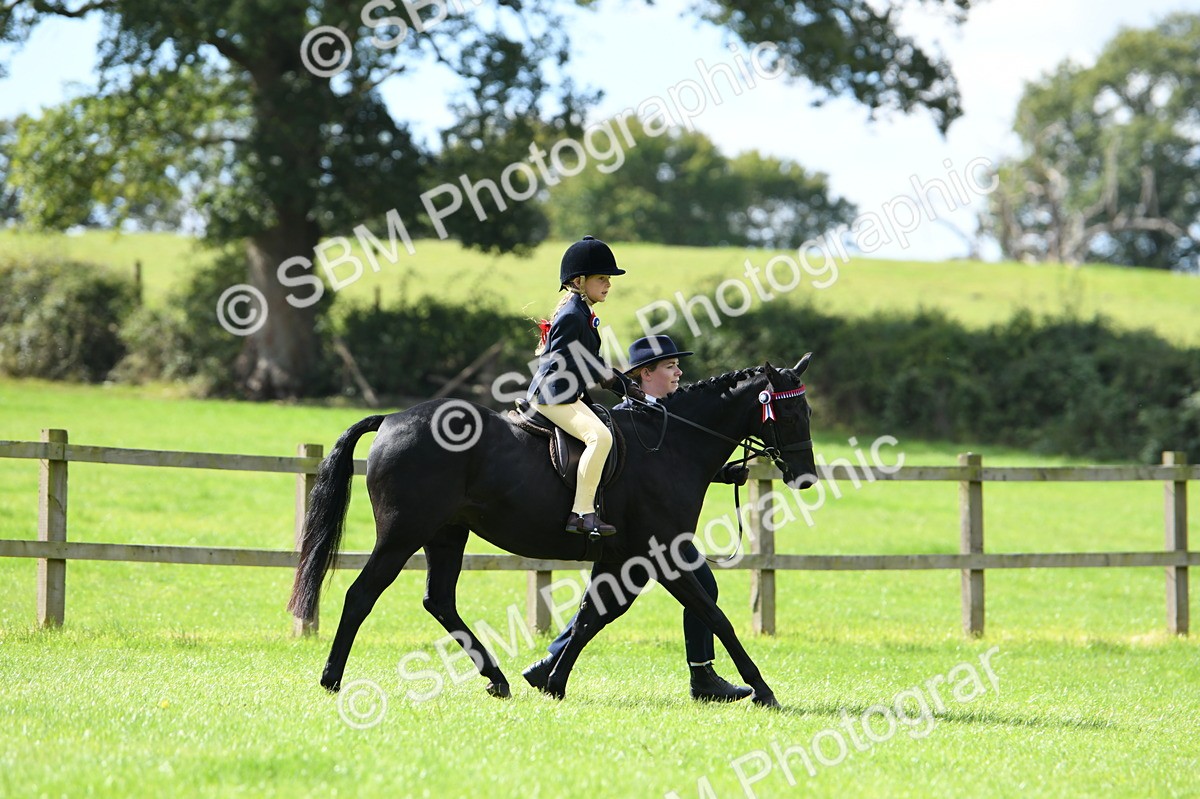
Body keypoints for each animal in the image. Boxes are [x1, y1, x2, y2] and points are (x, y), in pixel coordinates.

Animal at [288, 356, 817, 708]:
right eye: (792, 414)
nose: (806, 477)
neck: (670, 444)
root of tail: (392, 419)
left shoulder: (622, 559)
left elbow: (591, 616)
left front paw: (551, 682)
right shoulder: (661, 555)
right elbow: (714, 615)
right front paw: (763, 689)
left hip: (447, 534)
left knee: (439, 601)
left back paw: (498, 679)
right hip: (403, 534)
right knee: (362, 594)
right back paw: (332, 678)